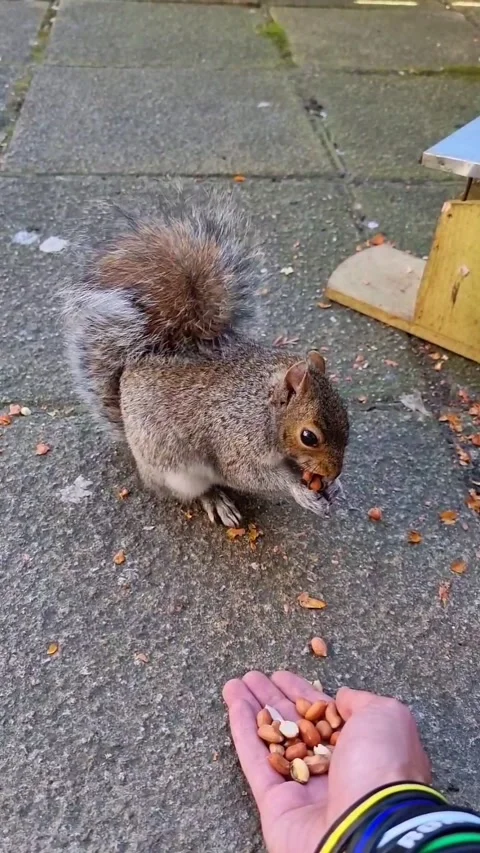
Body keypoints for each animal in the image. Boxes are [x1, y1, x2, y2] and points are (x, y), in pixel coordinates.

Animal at [64, 194, 349, 527]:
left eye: (346, 416)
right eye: (308, 437)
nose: (334, 472)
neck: (261, 406)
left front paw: (333, 488)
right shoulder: (235, 441)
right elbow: (245, 474)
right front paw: (300, 492)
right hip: (177, 472)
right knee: (192, 491)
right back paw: (215, 500)